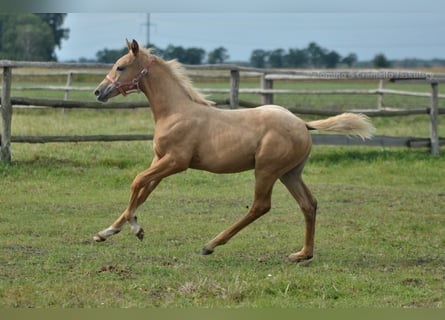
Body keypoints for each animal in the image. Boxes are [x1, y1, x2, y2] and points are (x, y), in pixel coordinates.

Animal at [94, 39, 374, 262]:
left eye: (120, 67)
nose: (98, 91)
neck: (175, 111)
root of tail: (303, 124)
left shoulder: (176, 162)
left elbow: (137, 181)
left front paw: (135, 229)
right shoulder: (160, 160)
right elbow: (143, 191)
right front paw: (105, 233)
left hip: (267, 170)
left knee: (261, 206)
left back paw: (211, 244)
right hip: (290, 173)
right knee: (309, 204)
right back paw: (302, 254)